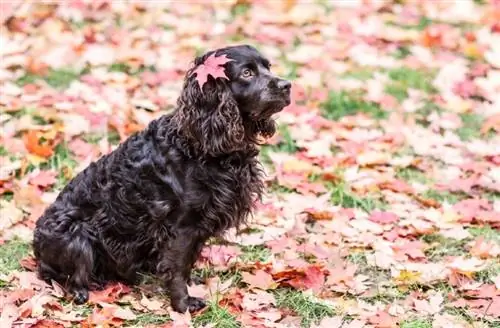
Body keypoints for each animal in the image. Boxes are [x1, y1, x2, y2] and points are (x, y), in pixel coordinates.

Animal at [33, 44, 292, 312]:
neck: (199, 146)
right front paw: (183, 304)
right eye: (247, 73)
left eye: (268, 67)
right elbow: (177, 267)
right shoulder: (182, 226)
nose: (287, 85)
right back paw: (82, 292)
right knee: (70, 275)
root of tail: (37, 245)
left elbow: (187, 261)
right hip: (77, 237)